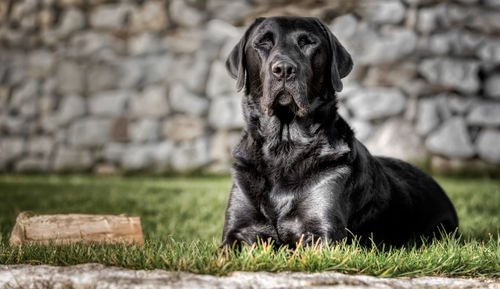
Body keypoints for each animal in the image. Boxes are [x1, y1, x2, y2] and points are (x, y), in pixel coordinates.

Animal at [221, 16, 458, 248]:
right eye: (263, 42)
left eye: (307, 42)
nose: (284, 69)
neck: (284, 147)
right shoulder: (236, 230)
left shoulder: (324, 232)